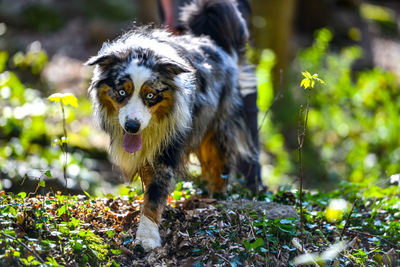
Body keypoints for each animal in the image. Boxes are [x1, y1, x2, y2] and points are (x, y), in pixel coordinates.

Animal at [86, 0, 258, 251]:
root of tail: (216, 44)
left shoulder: (167, 147)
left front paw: (146, 237)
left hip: (218, 126)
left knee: (220, 163)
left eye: (150, 95)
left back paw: (216, 198)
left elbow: (155, 195)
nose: (132, 127)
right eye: (122, 92)